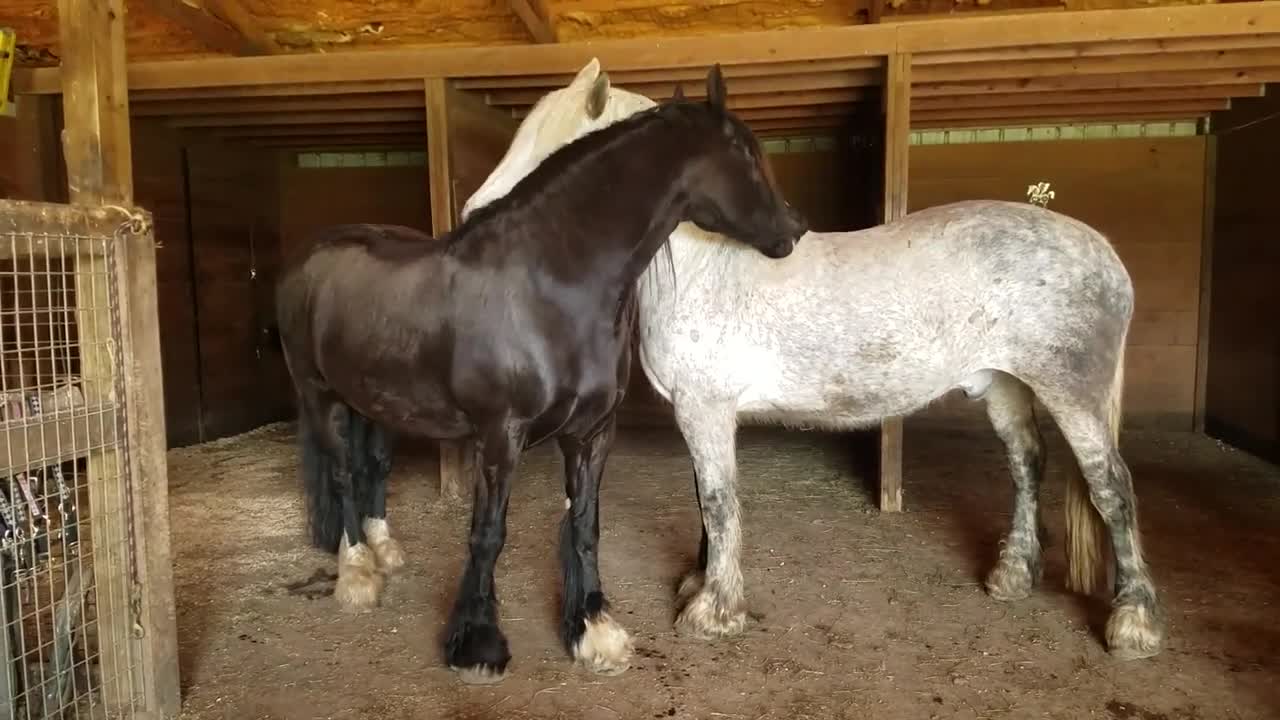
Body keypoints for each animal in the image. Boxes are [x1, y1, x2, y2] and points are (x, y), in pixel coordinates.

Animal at [275, 67, 803, 681]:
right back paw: (358, 574)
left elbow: (584, 526)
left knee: (372, 467)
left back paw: (384, 552)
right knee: (340, 473)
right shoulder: (500, 434)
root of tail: (310, 255)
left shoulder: (592, 432)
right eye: (745, 152)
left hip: (374, 402)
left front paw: (593, 630)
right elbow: (488, 533)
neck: (549, 286)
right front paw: (477, 644)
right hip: (320, 396)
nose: (794, 229)